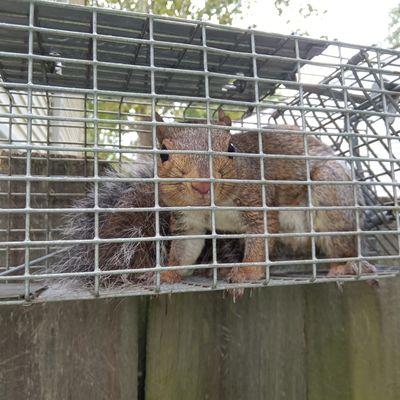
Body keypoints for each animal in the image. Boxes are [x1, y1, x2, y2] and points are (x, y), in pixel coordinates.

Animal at [157, 108, 378, 286]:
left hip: (331, 198)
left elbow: (260, 237)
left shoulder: (257, 200)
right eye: (163, 153)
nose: (202, 185)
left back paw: (345, 267)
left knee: (342, 246)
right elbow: (185, 249)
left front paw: (247, 272)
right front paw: (166, 274)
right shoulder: (187, 220)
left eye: (231, 148)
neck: (214, 206)